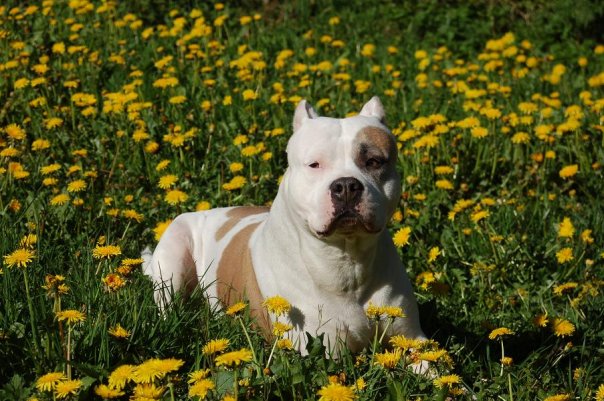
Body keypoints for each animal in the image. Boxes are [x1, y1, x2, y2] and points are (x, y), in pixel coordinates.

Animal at [143, 96, 425, 353]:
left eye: (374, 162)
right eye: (314, 164)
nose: (346, 185)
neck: (346, 261)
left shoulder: (414, 340)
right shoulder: (320, 352)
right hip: (174, 251)